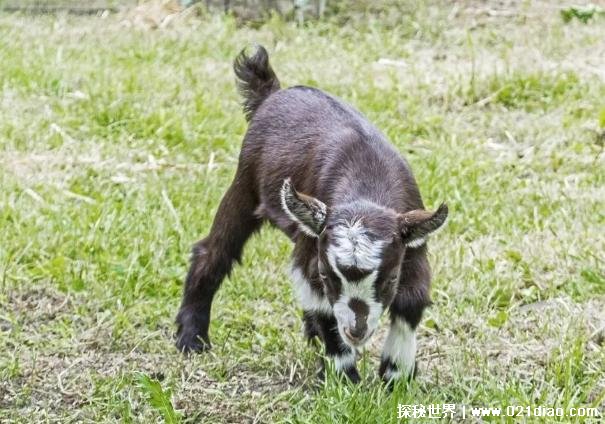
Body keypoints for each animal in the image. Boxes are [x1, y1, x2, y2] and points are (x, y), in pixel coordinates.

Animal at [176, 46, 448, 384]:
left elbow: (412, 300)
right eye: (326, 275)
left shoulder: (413, 244)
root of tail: (272, 93)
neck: (366, 182)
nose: (356, 331)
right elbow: (322, 305)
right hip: (245, 184)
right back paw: (192, 339)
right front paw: (345, 378)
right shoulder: (313, 250)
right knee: (214, 250)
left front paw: (396, 375)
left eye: (391, 279)